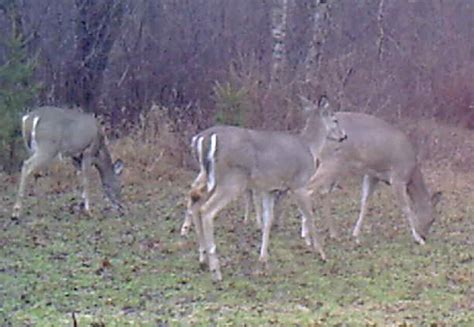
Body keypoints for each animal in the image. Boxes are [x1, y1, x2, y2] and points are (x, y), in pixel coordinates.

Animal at [186, 95, 348, 282]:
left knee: (196, 202)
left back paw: (202, 259)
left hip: (208, 177)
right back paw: (216, 270)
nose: (344, 136)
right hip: (231, 180)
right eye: (335, 119)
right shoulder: (299, 183)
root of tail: (202, 139)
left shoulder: (269, 189)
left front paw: (263, 258)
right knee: (207, 210)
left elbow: (267, 221)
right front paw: (321, 253)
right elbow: (310, 216)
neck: (310, 147)